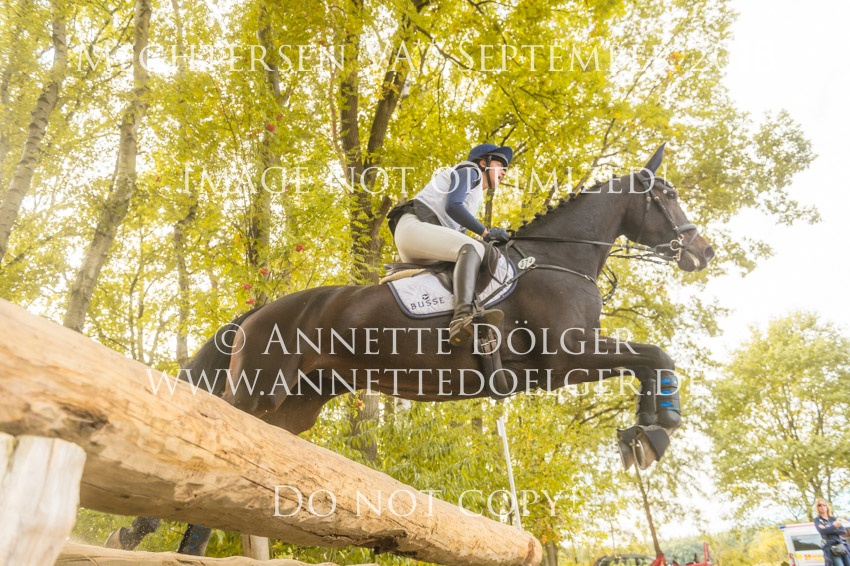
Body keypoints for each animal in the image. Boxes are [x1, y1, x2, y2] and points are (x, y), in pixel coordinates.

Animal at [108, 145, 714, 554]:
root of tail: (256, 313)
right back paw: (145, 533)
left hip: (295, 409)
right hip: (258, 391)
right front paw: (659, 427)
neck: (558, 260)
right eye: (667, 197)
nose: (703, 252)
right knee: (216, 434)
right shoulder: (568, 356)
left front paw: (644, 431)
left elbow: (650, 360)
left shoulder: (560, 366)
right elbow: (656, 353)